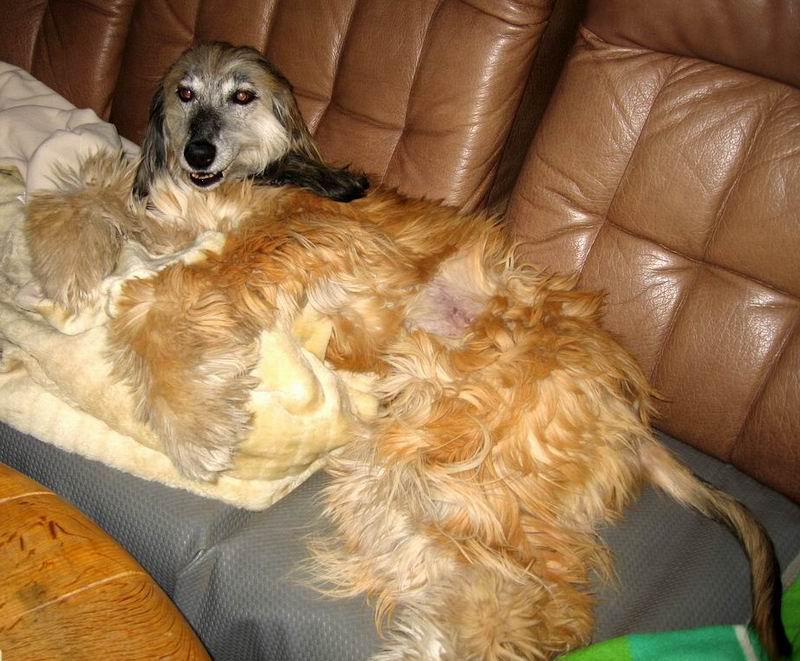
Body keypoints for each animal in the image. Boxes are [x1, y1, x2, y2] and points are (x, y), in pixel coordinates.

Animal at [23, 45, 791, 660]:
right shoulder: (176, 220)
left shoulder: (306, 233)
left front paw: (192, 422)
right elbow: (87, 193)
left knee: (545, 598)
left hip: (479, 449)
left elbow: (160, 296)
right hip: (411, 455)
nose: (198, 154)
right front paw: (67, 262)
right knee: (455, 562)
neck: (244, 183)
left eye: (243, 96)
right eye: (185, 94)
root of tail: (630, 413)